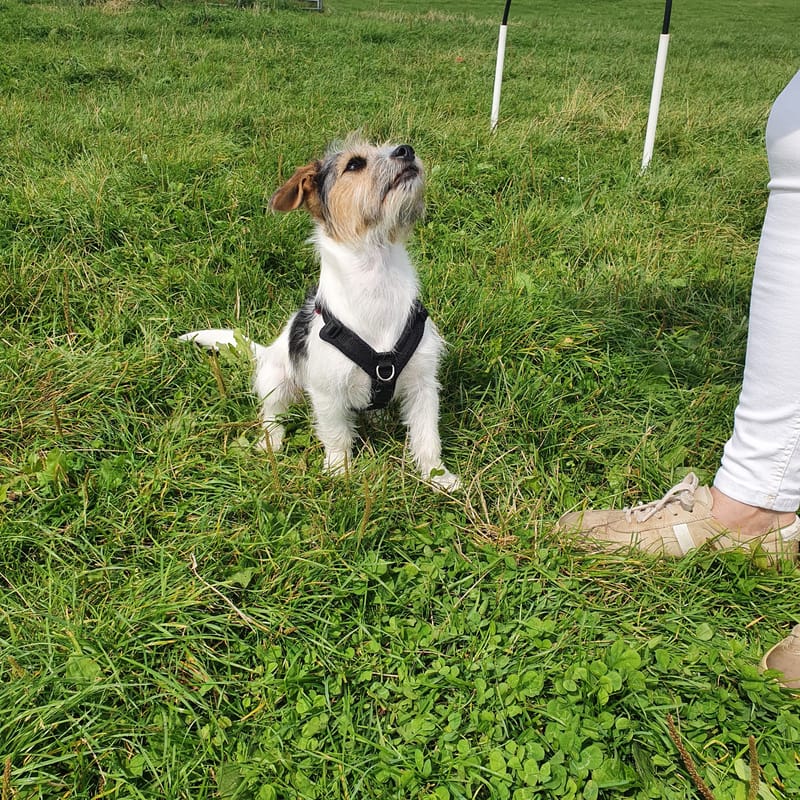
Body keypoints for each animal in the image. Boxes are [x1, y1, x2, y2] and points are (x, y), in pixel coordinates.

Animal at [179, 138, 460, 490]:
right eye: (354, 164)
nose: (405, 150)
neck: (377, 276)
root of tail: (266, 351)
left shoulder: (423, 384)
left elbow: (427, 437)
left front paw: (439, 478)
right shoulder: (327, 393)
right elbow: (337, 435)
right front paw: (340, 473)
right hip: (275, 380)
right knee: (271, 415)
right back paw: (271, 442)